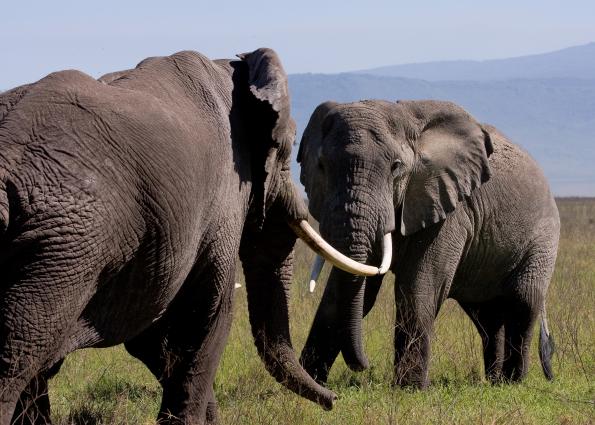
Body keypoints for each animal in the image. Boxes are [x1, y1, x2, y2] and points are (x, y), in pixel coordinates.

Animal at [0, 48, 382, 422]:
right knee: (16, 358)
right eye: (286, 152)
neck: (234, 69)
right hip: (62, 253)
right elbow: (209, 312)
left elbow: (153, 334)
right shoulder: (223, 194)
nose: (333, 399)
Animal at [300, 98, 560, 388]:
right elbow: (348, 290)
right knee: (487, 317)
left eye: (396, 167)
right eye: (321, 166)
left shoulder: (448, 207)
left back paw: (512, 382)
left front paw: (409, 389)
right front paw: (305, 381)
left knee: (523, 302)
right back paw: (494, 381)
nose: (363, 366)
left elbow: (418, 286)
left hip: (543, 239)